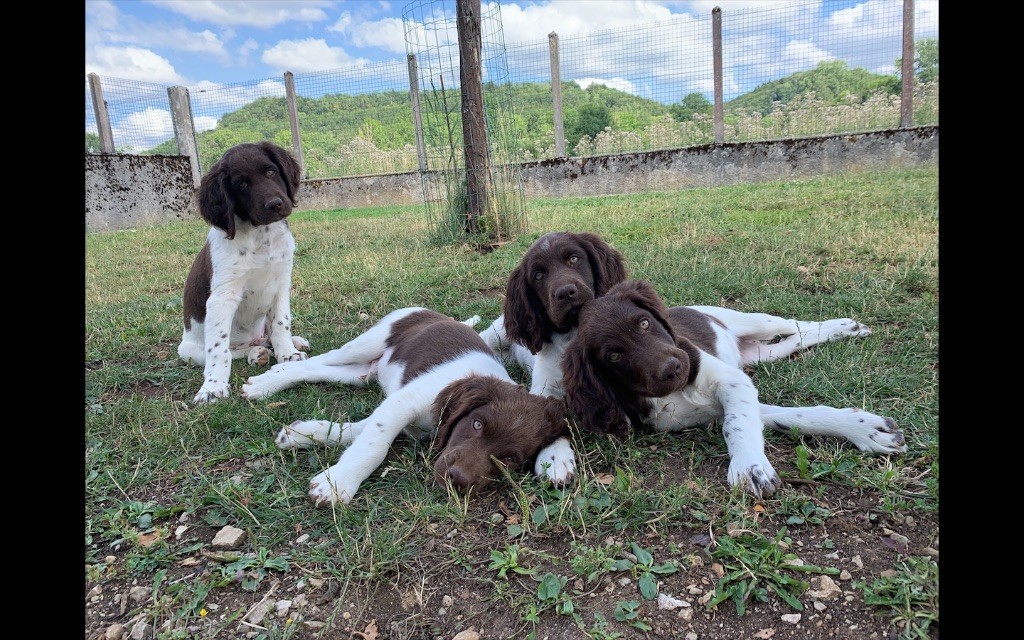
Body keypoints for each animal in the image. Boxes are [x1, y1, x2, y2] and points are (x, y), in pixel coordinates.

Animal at [176, 141, 307, 401]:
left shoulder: (281, 283)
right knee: (231, 350)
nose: (275, 204)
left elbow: (281, 323)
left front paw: (287, 354)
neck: (261, 236)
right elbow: (219, 349)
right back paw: (255, 352)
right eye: (241, 185)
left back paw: (288, 343)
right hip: (188, 351)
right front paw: (213, 387)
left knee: (267, 335)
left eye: (271, 171)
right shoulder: (222, 297)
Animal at [244, 307, 573, 505]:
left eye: (510, 460)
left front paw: (301, 435)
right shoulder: (404, 402)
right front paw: (338, 484)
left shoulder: (393, 409)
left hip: (359, 373)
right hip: (365, 344)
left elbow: (353, 433)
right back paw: (268, 379)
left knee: (317, 370)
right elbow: (373, 446)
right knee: (317, 360)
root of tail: (431, 312)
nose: (457, 479)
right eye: (477, 424)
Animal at [561, 280, 905, 499]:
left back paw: (845, 326)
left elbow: (738, 424)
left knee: (796, 324)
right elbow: (789, 417)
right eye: (613, 356)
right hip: (764, 354)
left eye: (644, 323)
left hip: (759, 321)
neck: (675, 392)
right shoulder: (714, 408)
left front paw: (749, 466)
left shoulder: (732, 383)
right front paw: (865, 429)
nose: (674, 368)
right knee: (795, 340)